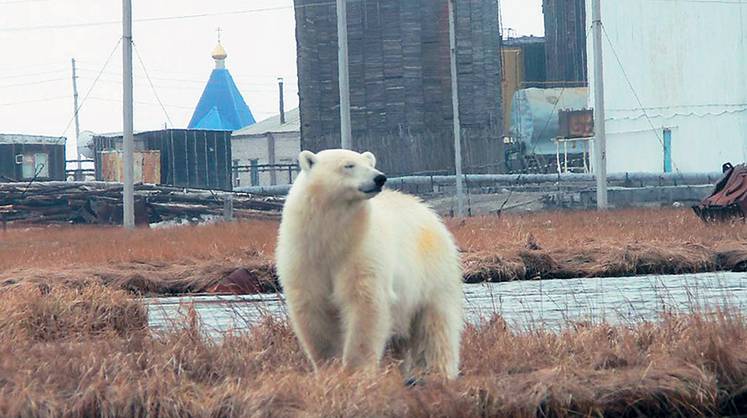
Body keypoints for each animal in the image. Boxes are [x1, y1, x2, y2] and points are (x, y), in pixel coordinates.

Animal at [274, 148, 462, 378]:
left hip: (432, 273)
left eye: (370, 163)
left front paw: (356, 371)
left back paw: (435, 371)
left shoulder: (362, 251)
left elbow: (364, 305)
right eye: (348, 165)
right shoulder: (305, 256)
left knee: (435, 327)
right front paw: (329, 368)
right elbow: (314, 309)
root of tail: (428, 211)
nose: (380, 178)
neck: (332, 237)